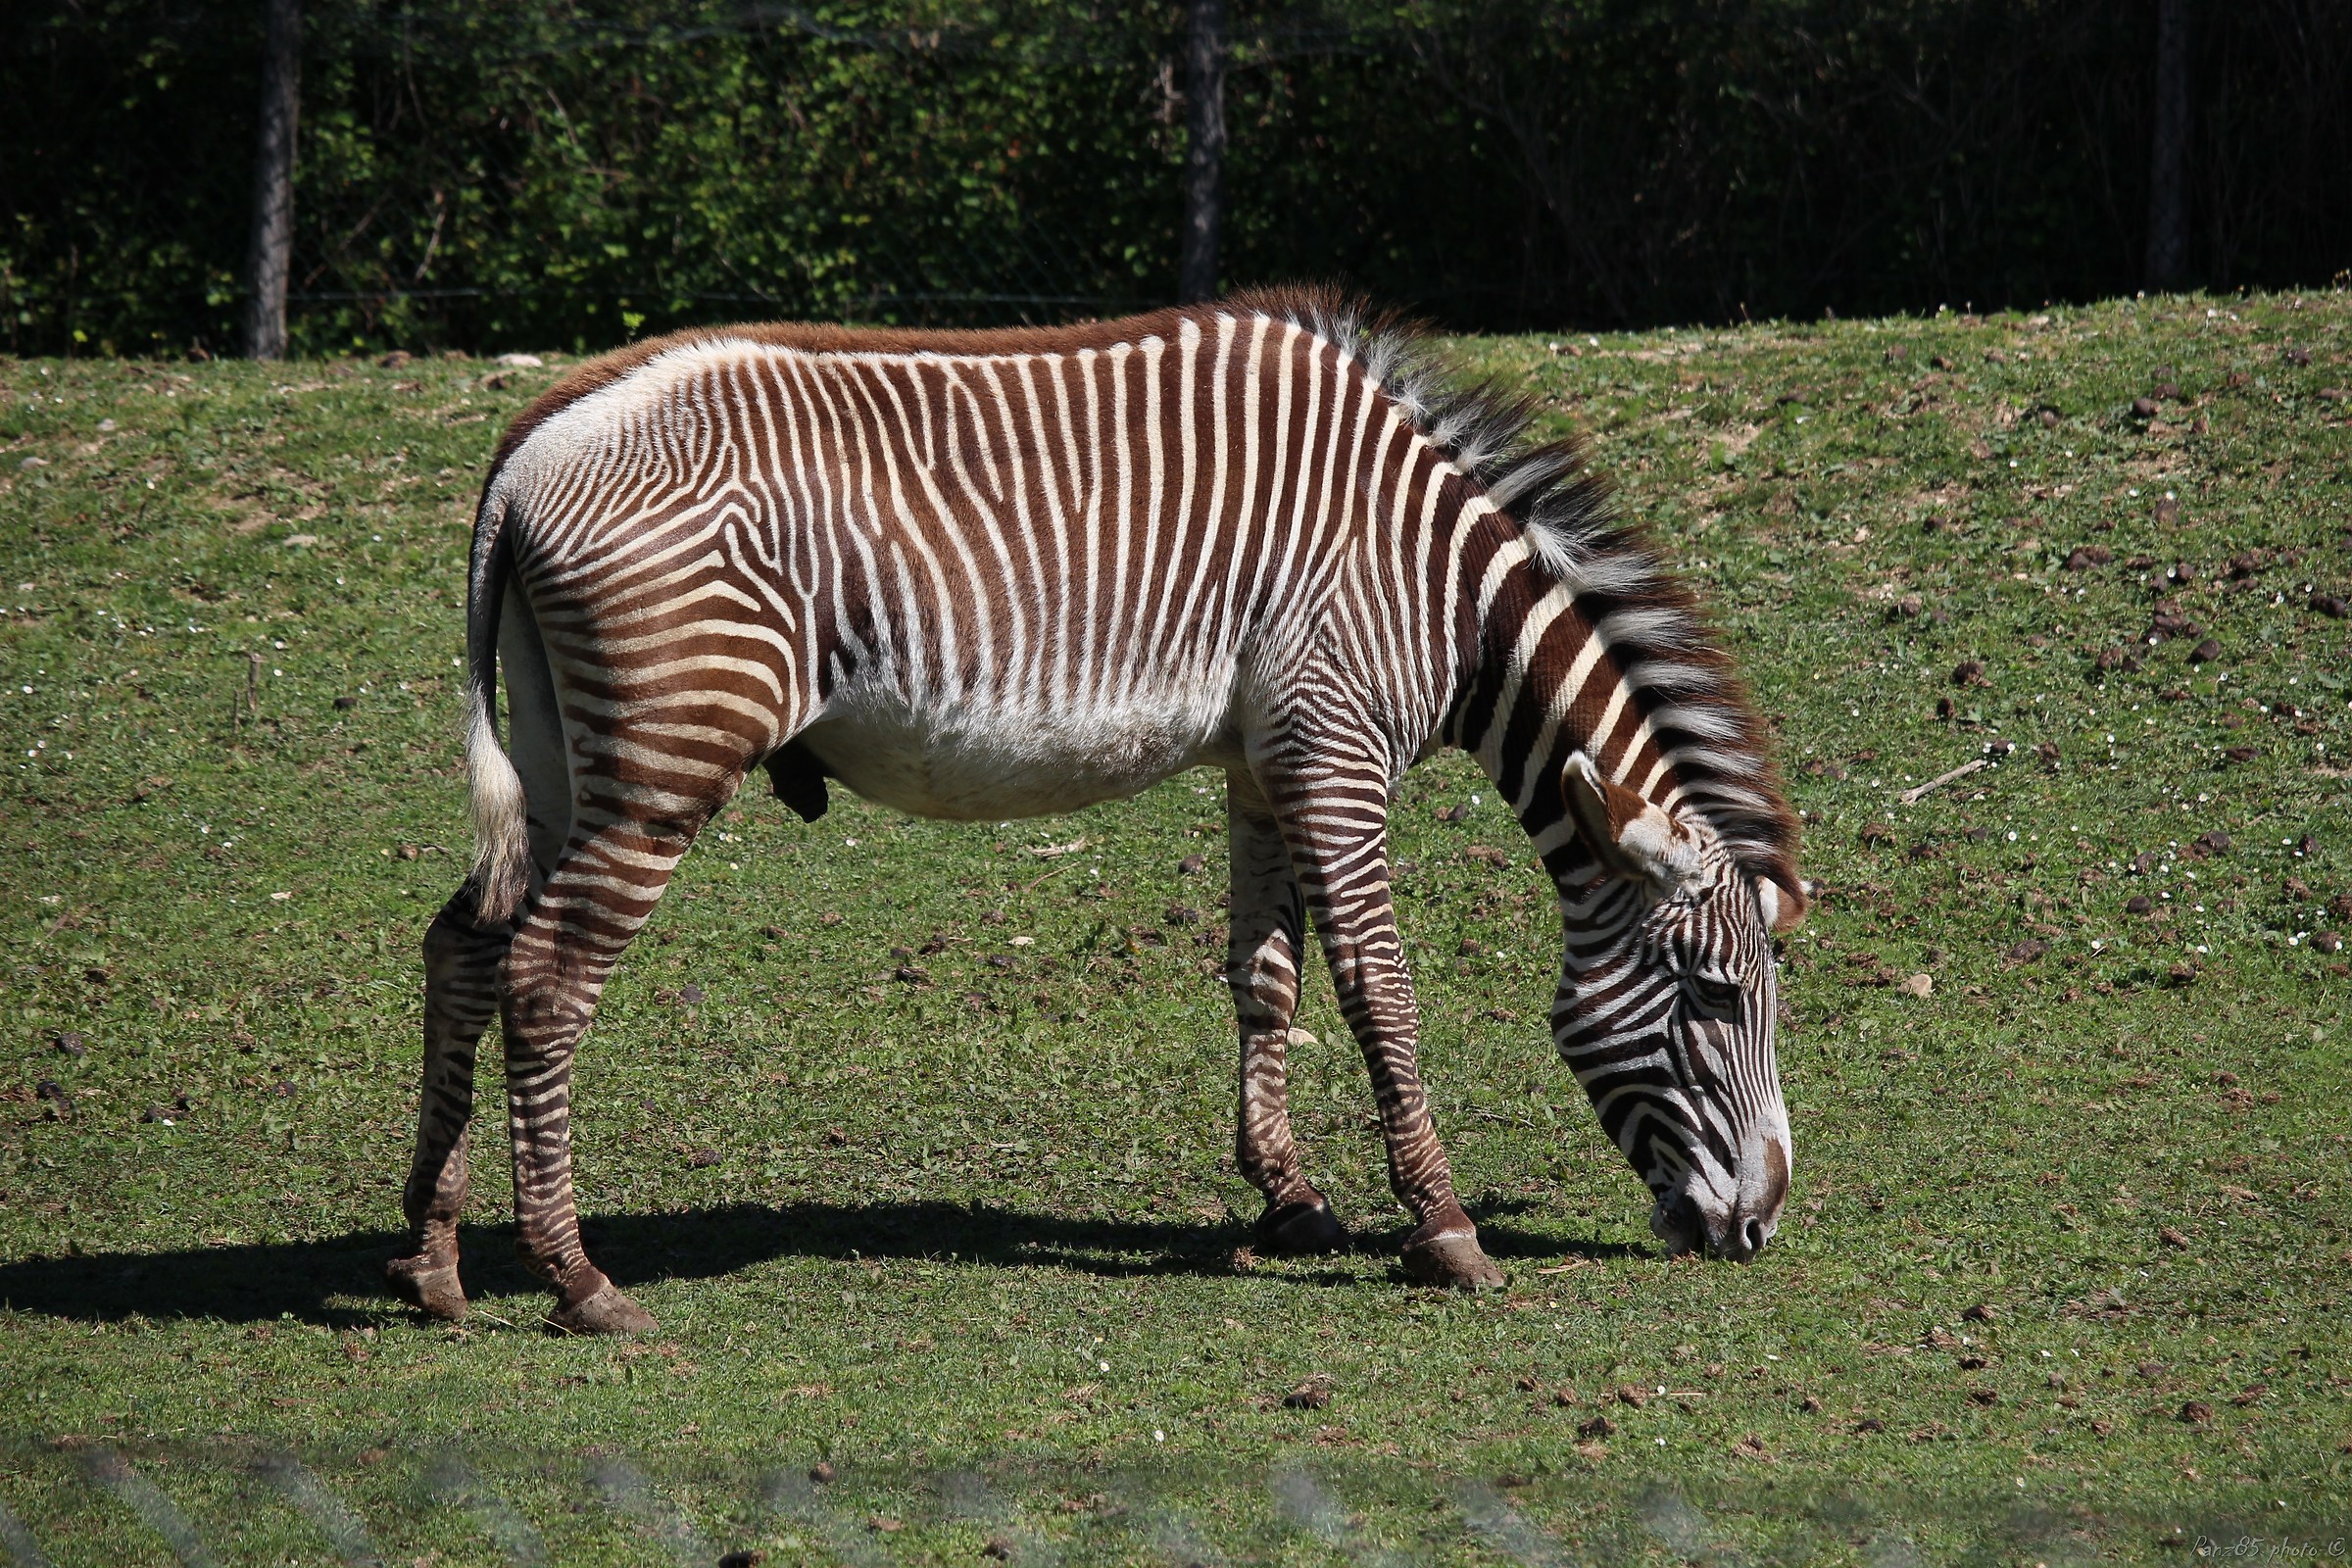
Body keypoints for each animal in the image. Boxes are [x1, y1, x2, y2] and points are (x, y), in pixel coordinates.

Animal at [387, 289, 1808, 1335]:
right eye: (1719, 997)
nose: (1757, 1228)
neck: (1442, 586)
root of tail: (531, 442)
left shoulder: (1265, 755)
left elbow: (1267, 975)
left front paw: (1290, 1200)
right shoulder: (1337, 745)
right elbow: (1377, 986)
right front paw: (1446, 1231)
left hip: (567, 748)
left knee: (465, 943)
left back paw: (434, 1256)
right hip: (667, 754)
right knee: (545, 978)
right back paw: (578, 1280)